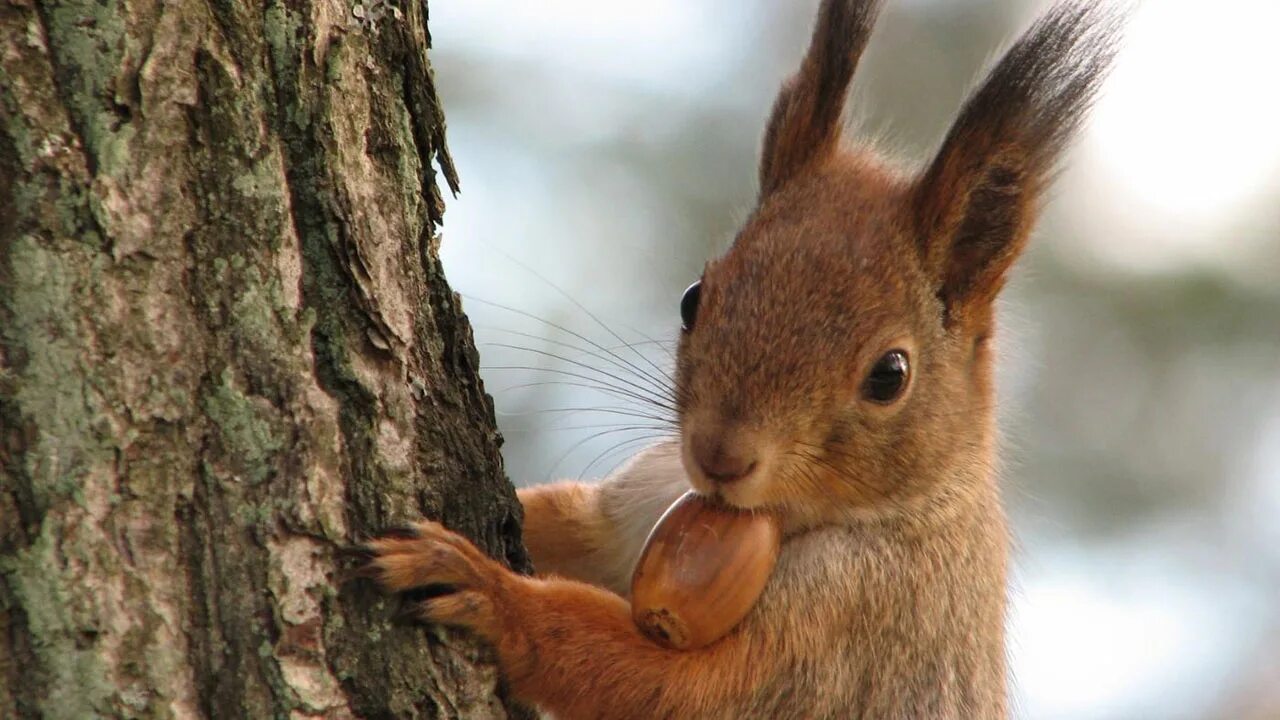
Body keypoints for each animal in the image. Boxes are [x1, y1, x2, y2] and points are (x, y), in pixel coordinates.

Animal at [368, 2, 1121, 712]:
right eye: (692, 298)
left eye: (890, 375)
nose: (720, 456)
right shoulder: (639, 501)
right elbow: (570, 523)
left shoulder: (852, 620)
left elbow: (674, 687)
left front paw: (483, 588)